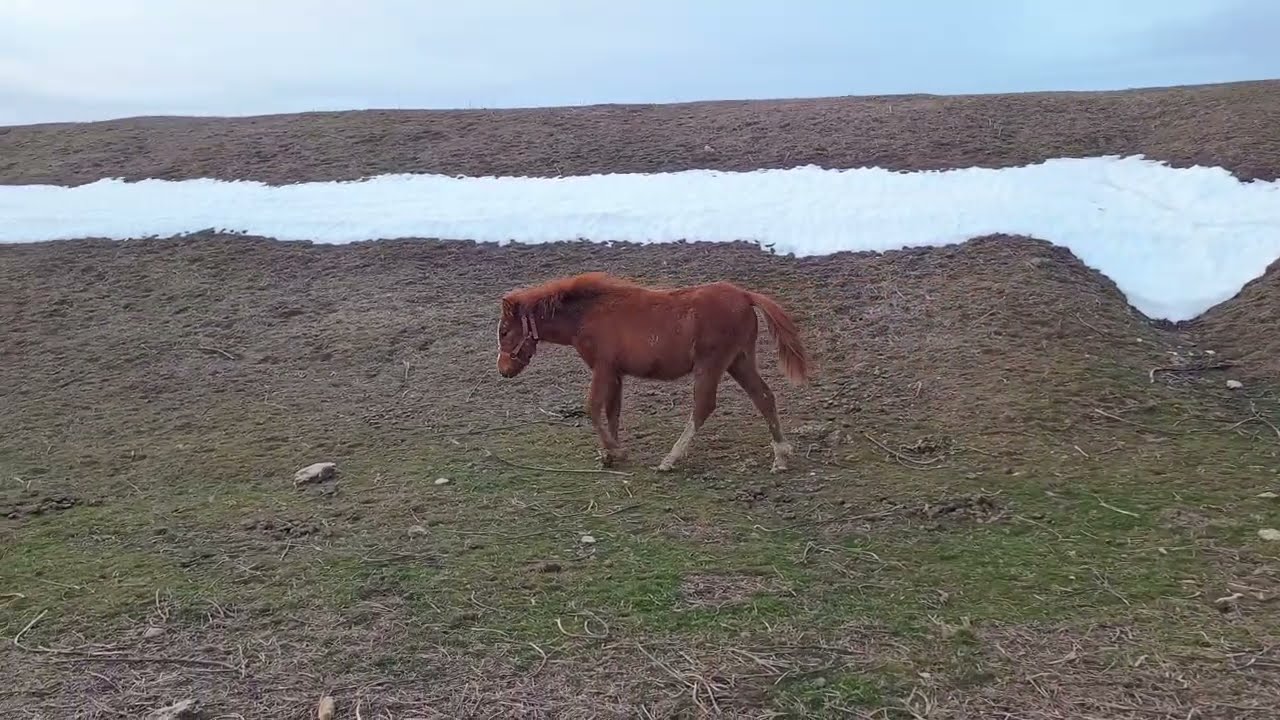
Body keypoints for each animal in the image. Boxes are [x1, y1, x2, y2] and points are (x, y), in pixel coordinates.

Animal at [494, 271, 810, 473]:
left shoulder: (603, 367)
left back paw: (671, 459)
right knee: (764, 397)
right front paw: (609, 454)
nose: (503, 370)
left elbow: (593, 407)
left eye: (504, 331)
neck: (589, 314)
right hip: (739, 361)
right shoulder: (616, 372)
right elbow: (612, 411)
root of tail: (745, 295)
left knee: (704, 406)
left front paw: (615, 451)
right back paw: (780, 457)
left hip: (711, 364)